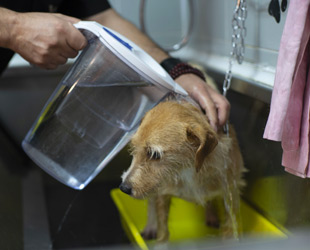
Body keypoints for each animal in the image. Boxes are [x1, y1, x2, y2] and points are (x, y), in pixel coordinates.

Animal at [120, 98, 246, 242]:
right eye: (134, 147)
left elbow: (230, 227)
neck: (187, 169)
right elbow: (162, 232)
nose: (123, 188)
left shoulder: (231, 192)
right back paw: (150, 227)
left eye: (155, 154)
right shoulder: (163, 194)